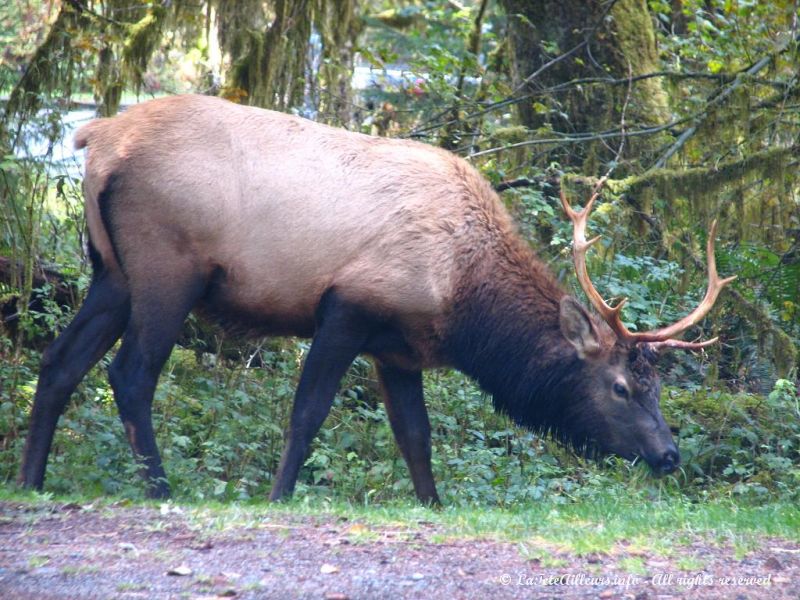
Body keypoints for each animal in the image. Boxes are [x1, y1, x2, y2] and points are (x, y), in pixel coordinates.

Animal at [18, 95, 736, 502]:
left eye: (658, 385)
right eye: (621, 385)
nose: (669, 455)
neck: (463, 303)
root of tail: (96, 138)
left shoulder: (400, 348)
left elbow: (416, 438)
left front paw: (432, 505)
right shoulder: (348, 306)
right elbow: (307, 413)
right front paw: (278, 496)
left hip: (108, 271)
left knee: (58, 363)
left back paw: (30, 479)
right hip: (167, 265)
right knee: (130, 373)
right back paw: (160, 487)